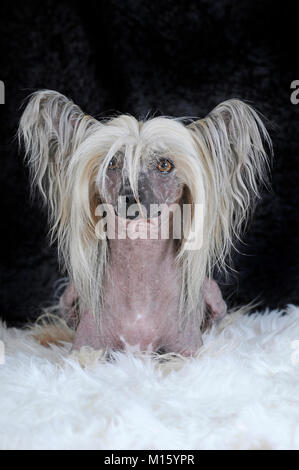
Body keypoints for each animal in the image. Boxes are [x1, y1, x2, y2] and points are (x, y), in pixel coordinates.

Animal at [18, 90, 272, 356]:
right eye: (112, 163)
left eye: (164, 164)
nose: (130, 197)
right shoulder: (85, 347)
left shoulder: (186, 351)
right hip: (70, 293)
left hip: (212, 293)